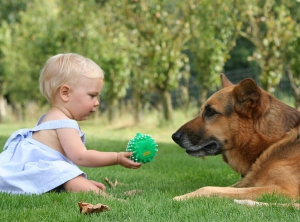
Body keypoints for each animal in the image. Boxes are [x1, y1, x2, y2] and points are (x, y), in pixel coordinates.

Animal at [172, 73, 300, 206]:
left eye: (211, 111)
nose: (174, 137)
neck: (274, 142)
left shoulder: (283, 190)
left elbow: (207, 188)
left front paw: (181, 197)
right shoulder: (245, 183)